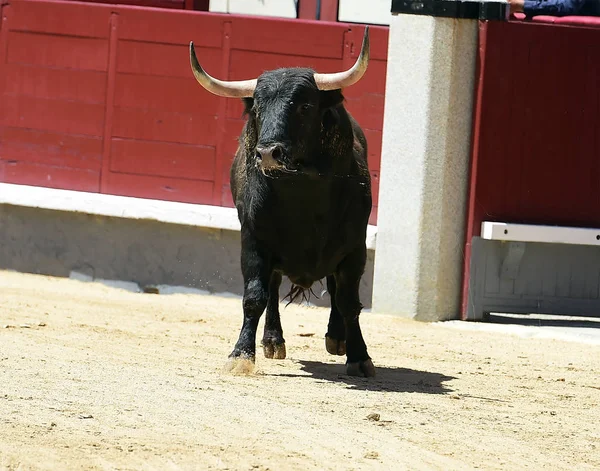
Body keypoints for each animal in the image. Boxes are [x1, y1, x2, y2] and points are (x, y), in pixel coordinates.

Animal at [189, 28, 376, 376]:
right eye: (257, 108)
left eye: (304, 106)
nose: (267, 153)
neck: (302, 195)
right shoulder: (253, 241)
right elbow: (254, 297)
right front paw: (241, 355)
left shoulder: (355, 247)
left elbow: (349, 301)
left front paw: (359, 356)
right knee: (273, 287)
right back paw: (273, 341)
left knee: (334, 289)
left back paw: (337, 338)